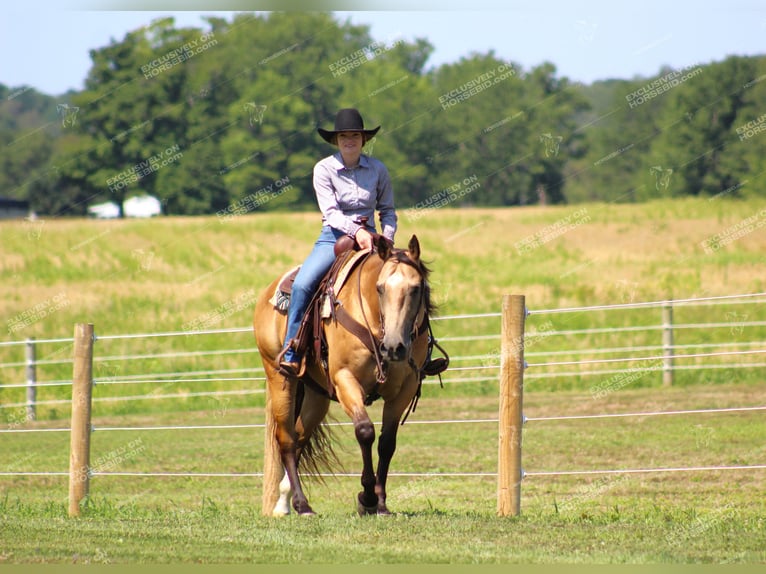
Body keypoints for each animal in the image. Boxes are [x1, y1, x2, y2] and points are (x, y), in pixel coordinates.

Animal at [255, 234, 440, 516]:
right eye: (380, 288)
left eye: (416, 288)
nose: (394, 347)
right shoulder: (345, 380)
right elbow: (365, 431)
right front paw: (367, 498)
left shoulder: (404, 389)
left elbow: (387, 443)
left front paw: (381, 503)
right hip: (279, 377)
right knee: (286, 440)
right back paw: (300, 504)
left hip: (317, 395)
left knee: (300, 436)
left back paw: (285, 501)